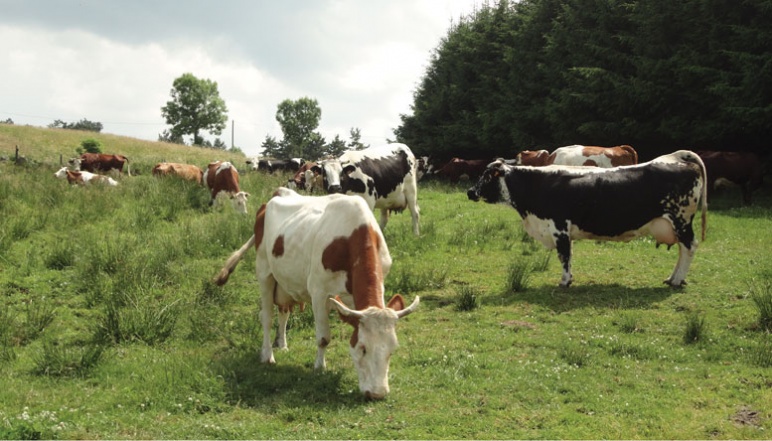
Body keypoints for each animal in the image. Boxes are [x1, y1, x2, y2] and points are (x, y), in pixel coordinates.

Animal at [214, 188, 419, 400]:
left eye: (392, 350)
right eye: (363, 348)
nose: (378, 393)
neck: (351, 237)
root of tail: (277, 193)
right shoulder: (319, 292)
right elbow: (323, 337)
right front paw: (319, 367)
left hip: (285, 280)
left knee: (284, 311)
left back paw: (282, 344)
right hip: (264, 271)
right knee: (267, 317)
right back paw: (267, 355)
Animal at [467, 150, 708, 288]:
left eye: (487, 175)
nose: (470, 192)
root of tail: (674, 158)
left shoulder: (559, 228)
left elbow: (564, 256)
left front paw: (565, 281)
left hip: (681, 221)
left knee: (689, 247)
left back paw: (676, 281)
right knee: (682, 251)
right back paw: (672, 278)